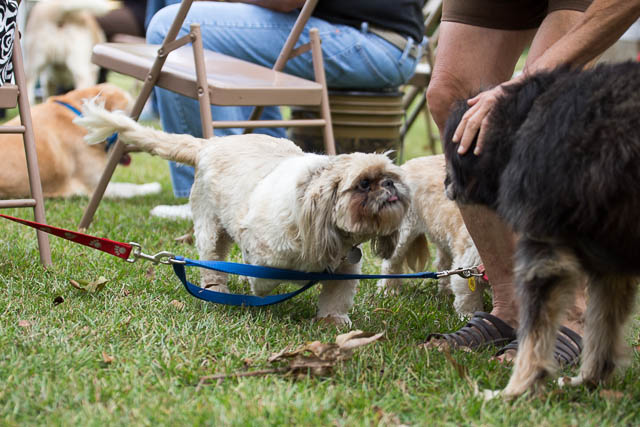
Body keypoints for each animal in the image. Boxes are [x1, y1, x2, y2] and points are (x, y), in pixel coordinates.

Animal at [0, 84, 159, 200]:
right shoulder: (95, 187)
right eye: (133, 119)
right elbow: (131, 187)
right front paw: (152, 187)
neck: (76, 113)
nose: (148, 139)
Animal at [76, 102, 410, 326]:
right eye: (364, 184)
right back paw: (216, 288)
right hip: (211, 229)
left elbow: (336, 297)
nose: (390, 185)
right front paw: (257, 292)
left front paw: (332, 321)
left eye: (391, 176)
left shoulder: (345, 268)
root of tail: (209, 144)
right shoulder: (263, 254)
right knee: (213, 260)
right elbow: (263, 281)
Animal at [376, 154, 490, 318]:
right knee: (391, 263)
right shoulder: (468, 264)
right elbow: (469, 299)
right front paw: (470, 317)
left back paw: (445, 292)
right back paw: (390, 290)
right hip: (404, 233)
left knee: (442, 265)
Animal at [442, 61, 640, 400]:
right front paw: (588, 381)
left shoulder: (545, 253)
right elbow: (602, 334)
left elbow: (534, 339)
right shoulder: (611, 261)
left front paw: (513, 391)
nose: (445, 183)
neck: (522, 121)